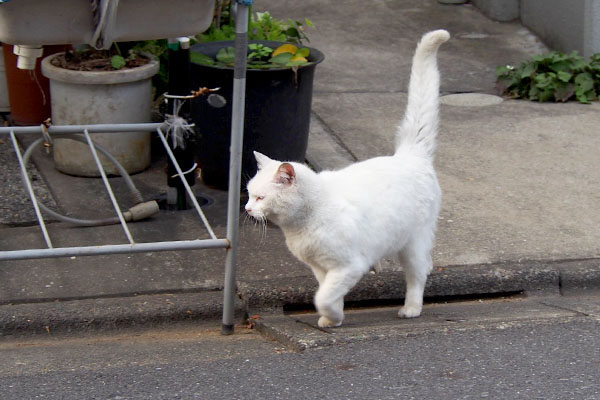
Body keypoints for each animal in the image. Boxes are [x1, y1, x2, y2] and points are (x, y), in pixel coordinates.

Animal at [245, 29, 450, 326]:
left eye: (260, 197)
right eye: (249, 195)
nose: (247, 208)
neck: (303, 223)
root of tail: (410, 155)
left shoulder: (350, 266)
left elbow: (322, 297)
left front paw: (330, 315)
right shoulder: (321, 268)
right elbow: (328, 293)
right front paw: (333, 319)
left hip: (413, 242)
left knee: (417, 274)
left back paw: (411, 308)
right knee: (426, 264)